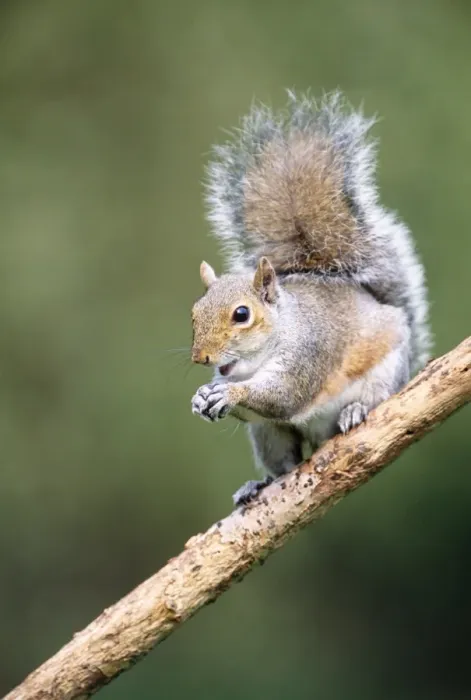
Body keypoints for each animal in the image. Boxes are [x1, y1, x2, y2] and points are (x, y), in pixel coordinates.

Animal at [190, 91, 430, 506]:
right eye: (194, 312)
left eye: (242, 314)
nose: (200, 358)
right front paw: (201, 397)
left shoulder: (308, 353)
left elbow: (283, 396)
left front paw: (229, 393)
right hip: (270, 436)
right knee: (284, 465)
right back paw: (257, 485)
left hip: (387, 372)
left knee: (376, 397)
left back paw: (355, 411)